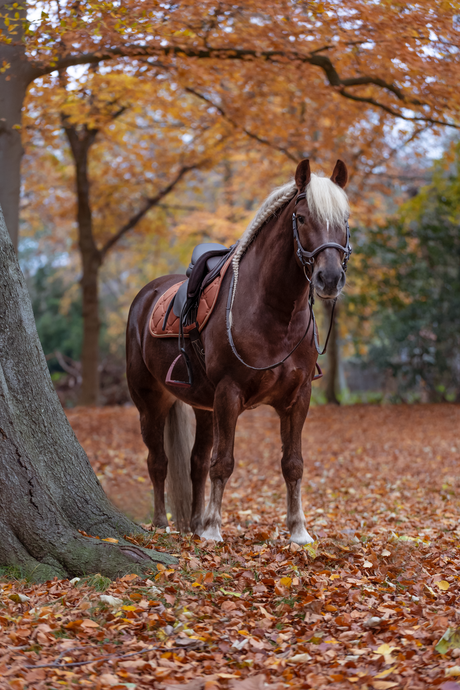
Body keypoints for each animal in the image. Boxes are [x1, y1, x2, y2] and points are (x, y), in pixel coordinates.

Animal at [126, 157, 348, 544]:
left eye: (345, 219)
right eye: (302, 218)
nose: (330, 278)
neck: (274, 310)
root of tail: (147, 294)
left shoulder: (298, 397)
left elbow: (293, 464)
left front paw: (298, 531)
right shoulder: (229, 393)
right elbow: (224, 462)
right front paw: (215, 530)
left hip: (203, 407)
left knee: (196, 464)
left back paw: (194, 523)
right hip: (150, 403)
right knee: (158, 462)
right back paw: (161, 524)